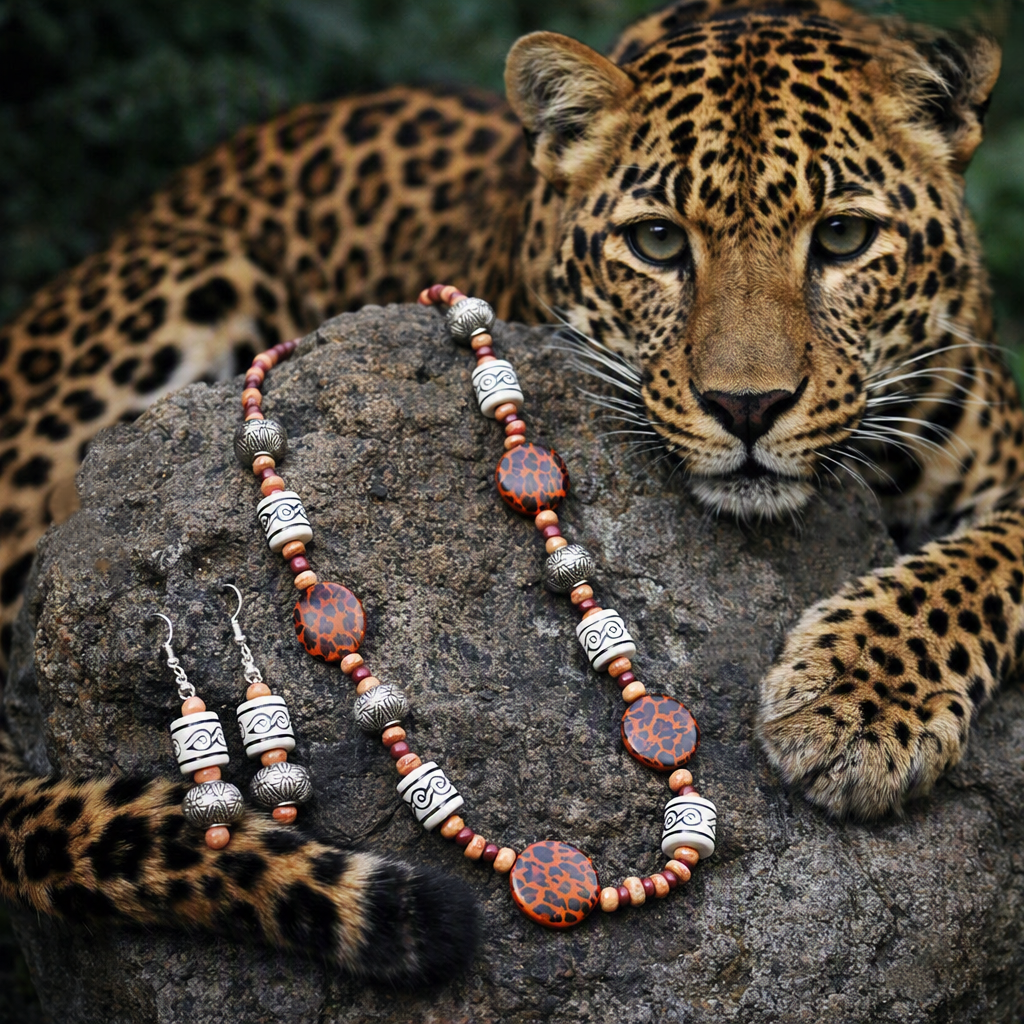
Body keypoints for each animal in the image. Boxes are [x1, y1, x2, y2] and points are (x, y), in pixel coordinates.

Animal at [1, 0, 1021, 980]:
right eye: (658, 242)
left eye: (843, 235)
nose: (747, 405)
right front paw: (852, 706)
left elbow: (989, 560)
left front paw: (857, 701)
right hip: (179, 295)